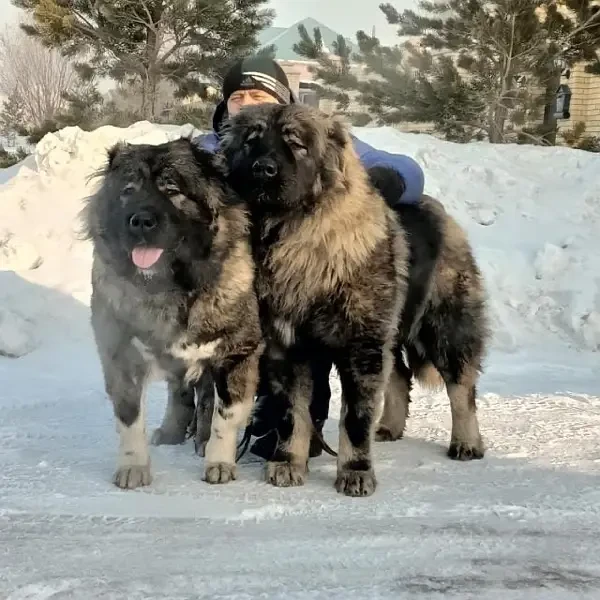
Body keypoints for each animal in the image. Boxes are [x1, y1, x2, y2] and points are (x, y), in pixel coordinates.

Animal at [80, 138, 262, 490]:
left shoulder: (236, 352)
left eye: (172, 190)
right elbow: (129, 418)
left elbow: (225, 415)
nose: (140, 220)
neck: (171, 287)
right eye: (128, 190)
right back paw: (171, 431)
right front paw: (133, 467)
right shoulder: (120, 355)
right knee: (179, 392)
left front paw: (219, 462)